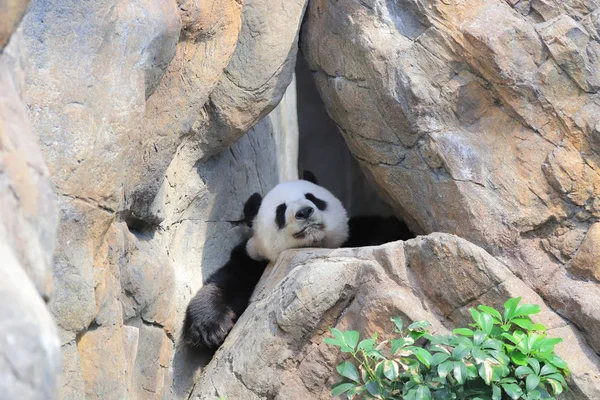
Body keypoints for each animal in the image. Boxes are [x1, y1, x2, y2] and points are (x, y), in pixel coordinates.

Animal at [184, 172, 412, 350]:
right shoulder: (253, 262)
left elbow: (388, 226)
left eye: (313, 198)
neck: (314, 246)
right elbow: (225, 282)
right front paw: (212, 327)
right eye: (280, 210)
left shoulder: (354, 234)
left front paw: (381, 238)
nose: (304, 211)